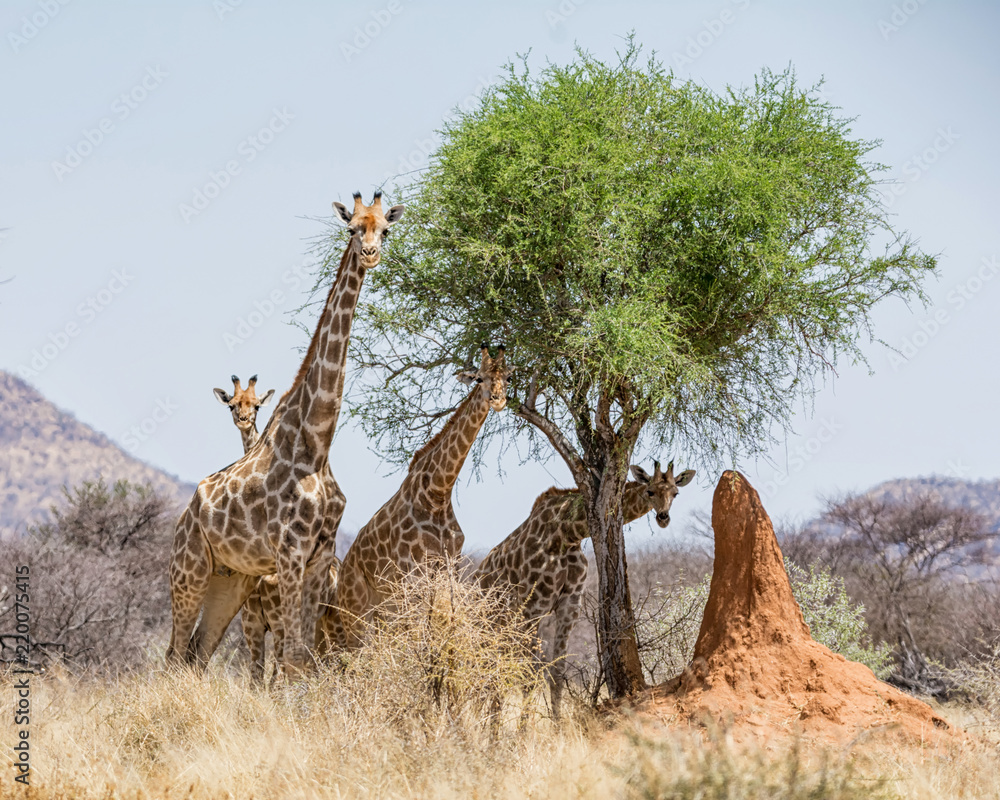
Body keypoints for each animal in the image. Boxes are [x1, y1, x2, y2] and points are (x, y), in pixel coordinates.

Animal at [167, 191, 403, 673]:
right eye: (352, 228)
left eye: (385, 229)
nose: (370, 253)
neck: (317, 441)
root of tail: (186, 514)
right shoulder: (291, 553)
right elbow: (294, 656)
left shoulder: (318, 557)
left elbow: (305, 657)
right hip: (190, 569)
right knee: (174, 653)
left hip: (232, 579)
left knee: (197, 652)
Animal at [330, 345, 513, 650]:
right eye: (479, 379)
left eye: (507, 378)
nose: (497, 399)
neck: (437, 493)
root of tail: (342, 571)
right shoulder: (413, 573)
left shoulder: (448, 568)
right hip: (357, 612)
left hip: (384, 609)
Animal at [474, 460, 695, 717]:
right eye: (650, 491)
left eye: (675, 493)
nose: (663, 517)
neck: (566, 535)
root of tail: (477, 577)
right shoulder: (533, 607)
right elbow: (529, 675)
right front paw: (522, 727)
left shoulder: (569, 605)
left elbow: (557, 671)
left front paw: (556, 722)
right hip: (492, 619)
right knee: (486, 664)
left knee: (492, 666)